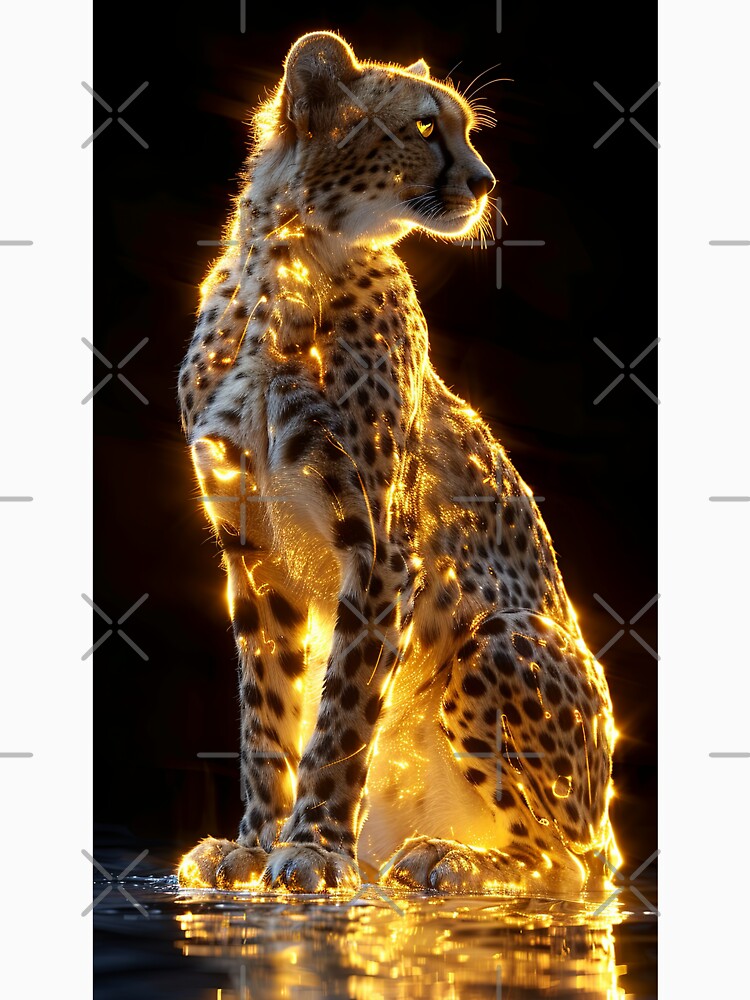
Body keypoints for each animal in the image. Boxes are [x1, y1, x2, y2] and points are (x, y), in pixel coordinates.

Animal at [177, 31, 620, 895]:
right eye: (421, 126)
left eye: (466, 129)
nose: (485, 182)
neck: (291, 266)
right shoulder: (252, 551)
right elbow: (266, 710)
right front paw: (253, 843)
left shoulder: (385, 550)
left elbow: (344, 711)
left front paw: (313, 846)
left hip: (503, 636)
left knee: (577, 866)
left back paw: (454, 859)